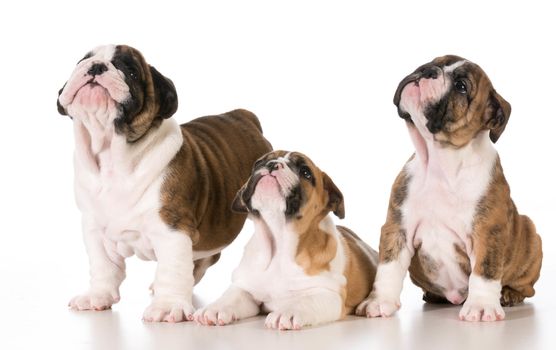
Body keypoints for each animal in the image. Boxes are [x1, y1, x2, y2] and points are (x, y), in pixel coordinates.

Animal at [57, 44, 274, 322]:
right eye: (83, 60)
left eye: (130, 71)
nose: (96, 66)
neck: (111, 155)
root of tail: (243, 116)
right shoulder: (94, 228)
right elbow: (103, 265)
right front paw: (98, 295)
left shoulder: (172, 228)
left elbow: (172, 268)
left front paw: (168, 306)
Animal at [193, 151, 380, 330]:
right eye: (258, 163)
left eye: (305, 172)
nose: (272, 164)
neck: (279, 240)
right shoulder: (246, 287)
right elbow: (232, 296)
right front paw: (215, 308)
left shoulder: (328, 294)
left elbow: (305, 301)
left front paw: (288, 312)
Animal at [356, 55, 544, 322]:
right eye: (434, 61)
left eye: (461, 86)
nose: (428, 71)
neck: (439, 161)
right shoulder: (397, 228)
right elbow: (388, 268)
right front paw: (379, 301)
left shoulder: (488, 232)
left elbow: (485, 272)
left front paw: (481, 306)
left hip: (531, 235)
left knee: (526, 287)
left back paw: (508, 295)